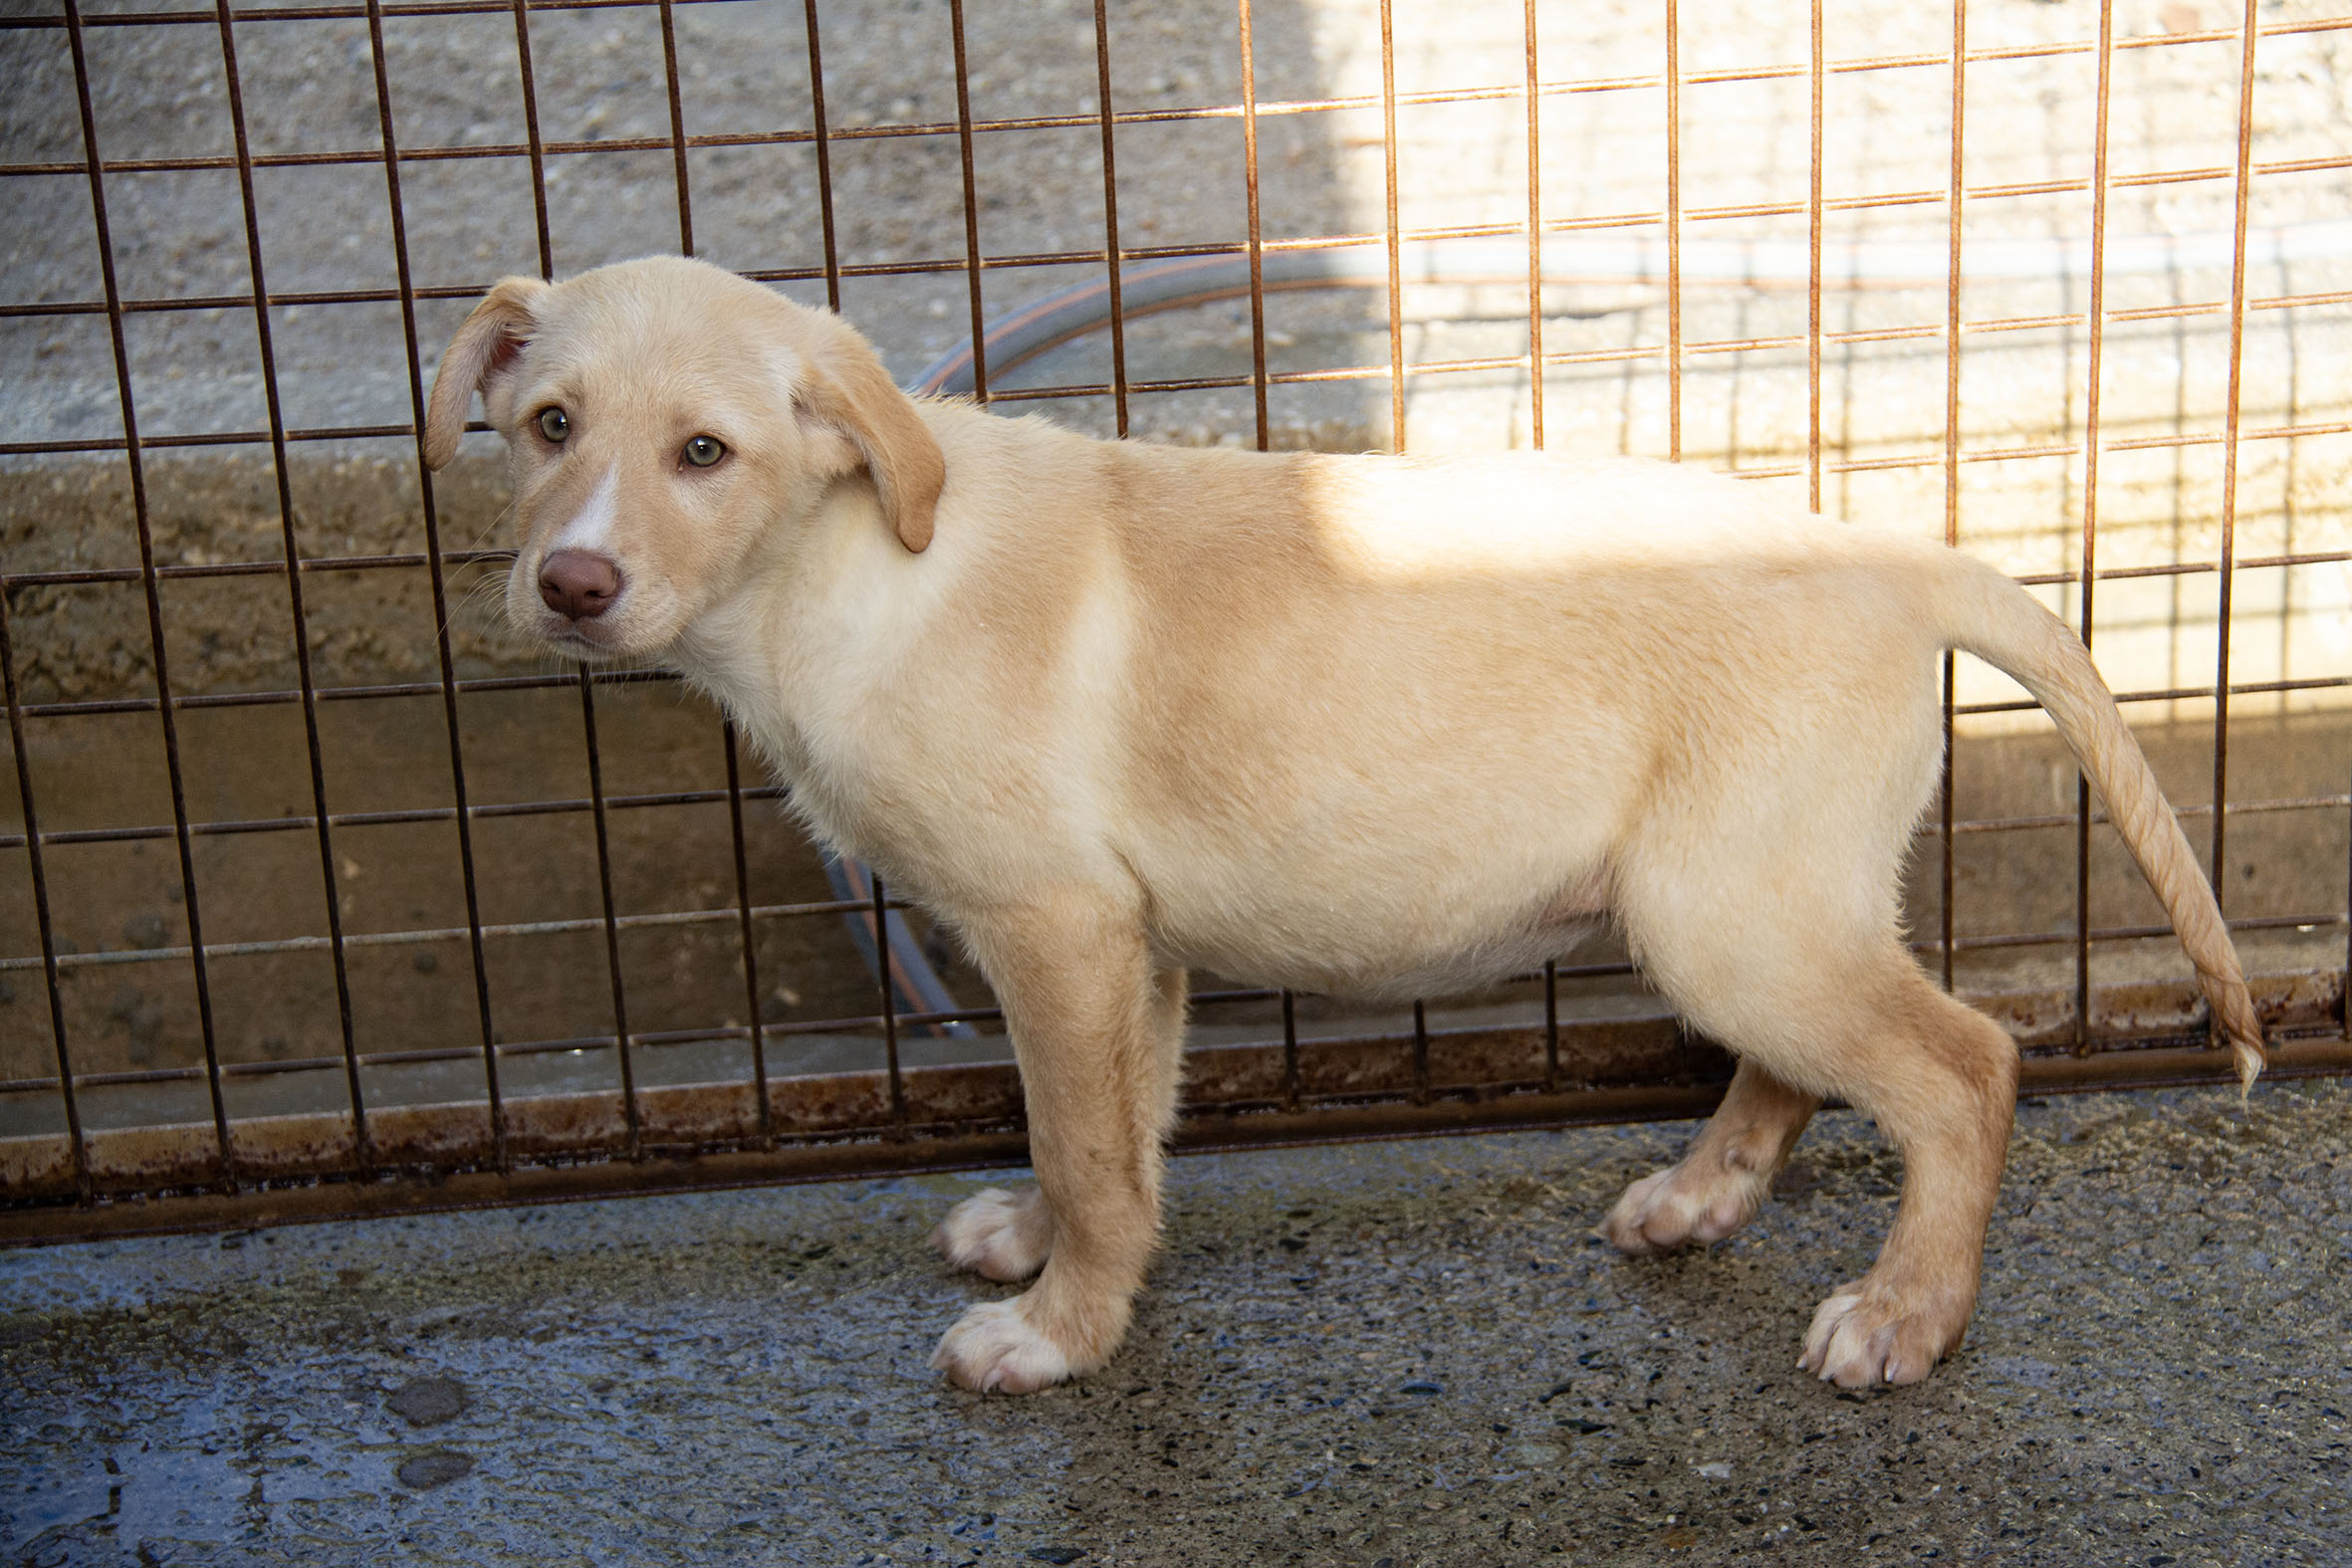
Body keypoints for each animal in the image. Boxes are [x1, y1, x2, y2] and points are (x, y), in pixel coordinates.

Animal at [425, 255, 2266, 1395]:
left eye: (705, 452)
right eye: (545, 428)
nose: (568, 582)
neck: (849, 569)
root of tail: (1894, 552)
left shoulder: (1052, 922)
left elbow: (1086, 1141)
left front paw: (1056, 1331)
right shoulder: (1129, 938)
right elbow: (1114, 1131)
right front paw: (1058, 1258)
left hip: (1733, 907)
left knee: (1964, 1067)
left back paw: (1902, 1316)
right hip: (1758, 898)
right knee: (1806, 1065)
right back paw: (1701, 1199)